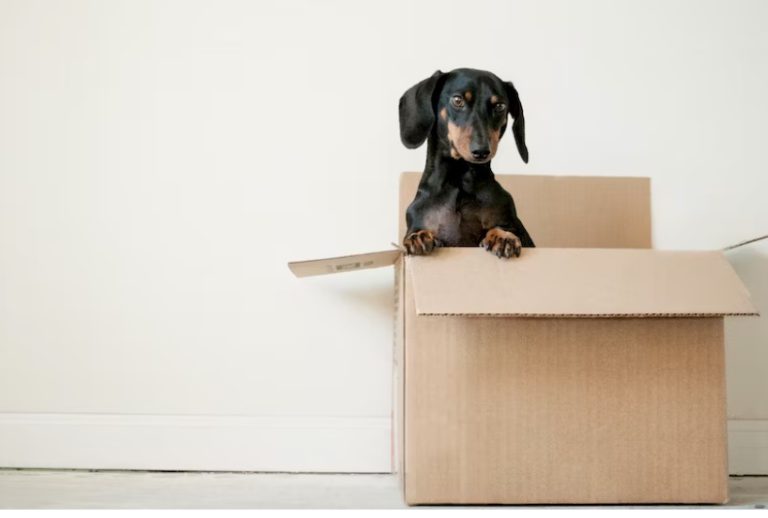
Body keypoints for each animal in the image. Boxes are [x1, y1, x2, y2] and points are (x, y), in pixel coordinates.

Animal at [396, 68, 536, 258]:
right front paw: (418, 237)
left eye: (499, 106)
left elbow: (503, 228)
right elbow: (416, 232)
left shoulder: (515, 225)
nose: (481, 151)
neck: (459, 179)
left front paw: (503, 236)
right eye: (457, 100)